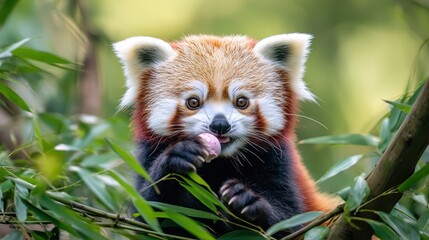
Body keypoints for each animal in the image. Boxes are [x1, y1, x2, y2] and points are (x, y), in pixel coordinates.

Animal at [113, 33, 338, 236]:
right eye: (193, 102)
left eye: (241, 102)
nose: (220, 124)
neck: (219, 163)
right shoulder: (148, 154)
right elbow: (152, 217)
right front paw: (176, 159)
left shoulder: (278, 162)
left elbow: (290, 220)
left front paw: (246, 201)